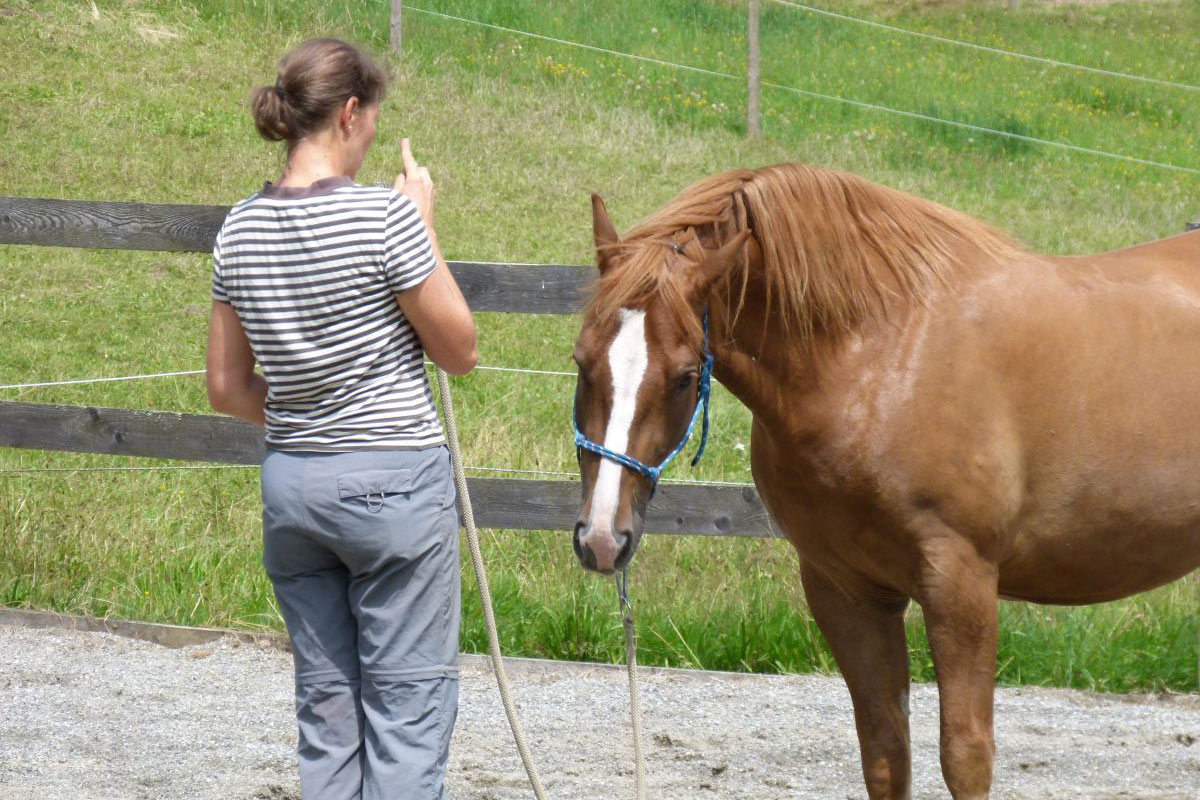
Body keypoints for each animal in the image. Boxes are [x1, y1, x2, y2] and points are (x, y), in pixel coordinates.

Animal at [569, 163, 1200, 800]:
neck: (880, 355)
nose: (602, 539)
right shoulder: (846, 589)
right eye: (581, 361)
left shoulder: (962, 583)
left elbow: (965, 757)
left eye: (683, 376)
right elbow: (884, 753)